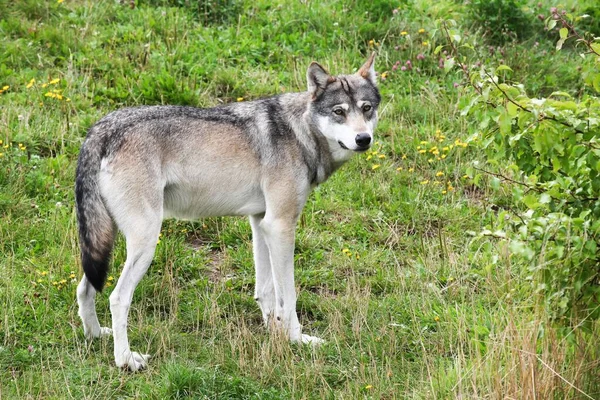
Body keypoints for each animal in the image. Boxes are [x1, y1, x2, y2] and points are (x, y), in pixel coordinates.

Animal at [75, 53, 380, 372]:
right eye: (339, 112)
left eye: (366, 108)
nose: (363, 139)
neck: (300, 132)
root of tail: (100, 130)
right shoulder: (281, 225)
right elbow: (289, 296)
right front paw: (297, 340)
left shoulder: (261, 223)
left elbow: (266, 290)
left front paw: (275, 334)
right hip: (145, 243)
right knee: (117, 297)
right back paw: (125, 360)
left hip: (104, 243)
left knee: (84, 288)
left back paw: (95, 335)